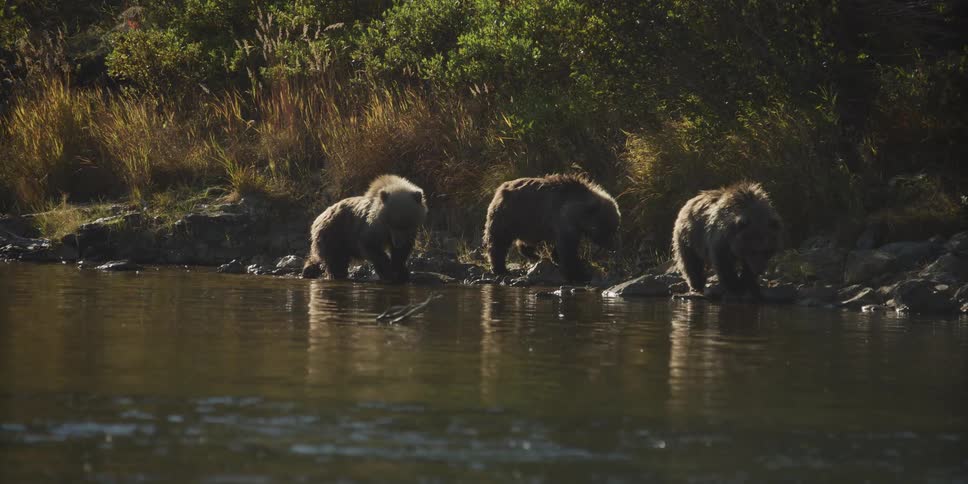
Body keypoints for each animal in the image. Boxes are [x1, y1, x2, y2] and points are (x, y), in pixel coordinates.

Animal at [483, 174, 621, 283]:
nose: (613, 247)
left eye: (614, 228)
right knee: (498, 242)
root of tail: (501, 187)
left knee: (524, 241)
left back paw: (533, 254)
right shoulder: (563, 220)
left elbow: (562, 247)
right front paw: (578, 273)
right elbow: (567, 249)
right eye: (606, 228)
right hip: (509, 215)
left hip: (528, 223)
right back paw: (500, 268)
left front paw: (558, 259)